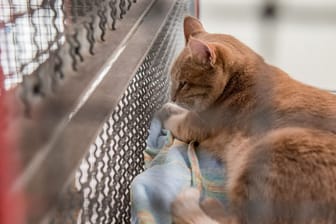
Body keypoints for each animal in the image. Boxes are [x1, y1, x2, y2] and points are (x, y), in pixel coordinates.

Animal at [159, 16, 336, 224]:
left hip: (271, 149)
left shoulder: (192, 126)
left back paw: (205, 203)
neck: (237, 82)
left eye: (183, 84)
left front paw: (164, 110)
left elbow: (175, 120)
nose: (172, 97)